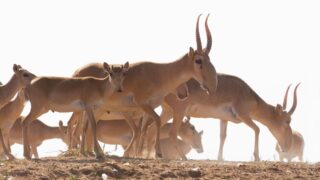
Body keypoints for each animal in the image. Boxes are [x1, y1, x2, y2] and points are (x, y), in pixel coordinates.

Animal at [68, 13, 218, 158]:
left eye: (209, 59)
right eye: (198, 60)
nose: (212, 85)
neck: (160, 73)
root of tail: (76, 72)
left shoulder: (146, 108)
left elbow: (143, 129)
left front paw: (137, 154)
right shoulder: (142, 103)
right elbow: (156, 121)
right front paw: (157, 153)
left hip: (95, 110)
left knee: (84, 127)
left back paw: (87, 152)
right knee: (78, 127)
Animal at [142, 76, 300, 161]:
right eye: (288, 121)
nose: (287, 147)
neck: (246, 92)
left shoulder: (224, 119)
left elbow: (223, 136)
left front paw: (220, 158)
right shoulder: (244, 116)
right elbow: (257, 129)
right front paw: (256, 157)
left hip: (168, 112)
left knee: (151, 129)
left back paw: (151, 156)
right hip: (179, 112)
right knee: (171, 133)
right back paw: (183, 159)